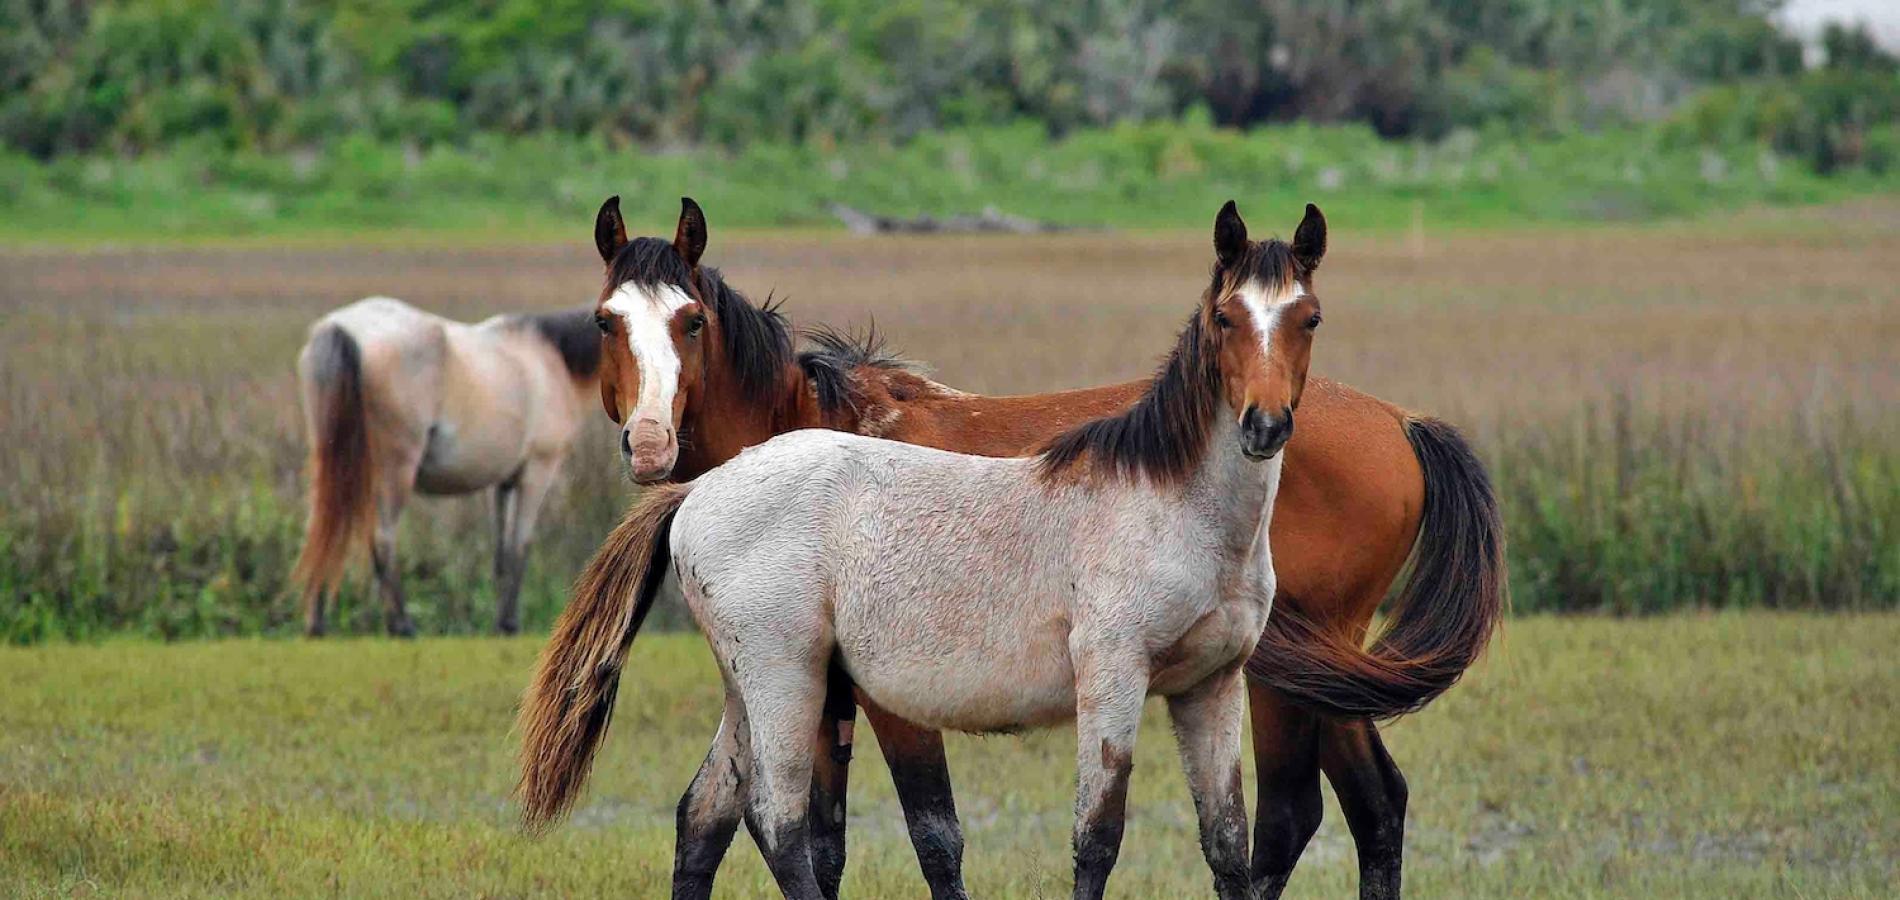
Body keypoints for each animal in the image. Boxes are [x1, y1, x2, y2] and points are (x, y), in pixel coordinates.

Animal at [292, 297, 603, 636]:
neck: (553, 357)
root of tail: (342, 327)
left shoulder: (501, 483)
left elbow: (502, 552)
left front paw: (499, 623)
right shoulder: (536, 471)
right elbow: (520, 545)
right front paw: (509, 623)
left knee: (322, 530)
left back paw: (316, 624)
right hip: (394, 470)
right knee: (382, 538)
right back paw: (401, 625)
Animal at [528, 197, 1504, 899]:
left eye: (691, 322)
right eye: (605, 321)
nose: (649, 443)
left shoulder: (1208, 681)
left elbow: (1209, 839)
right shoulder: (1012, 685)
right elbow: (978, 838)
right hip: (775, 676)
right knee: (758, 820)